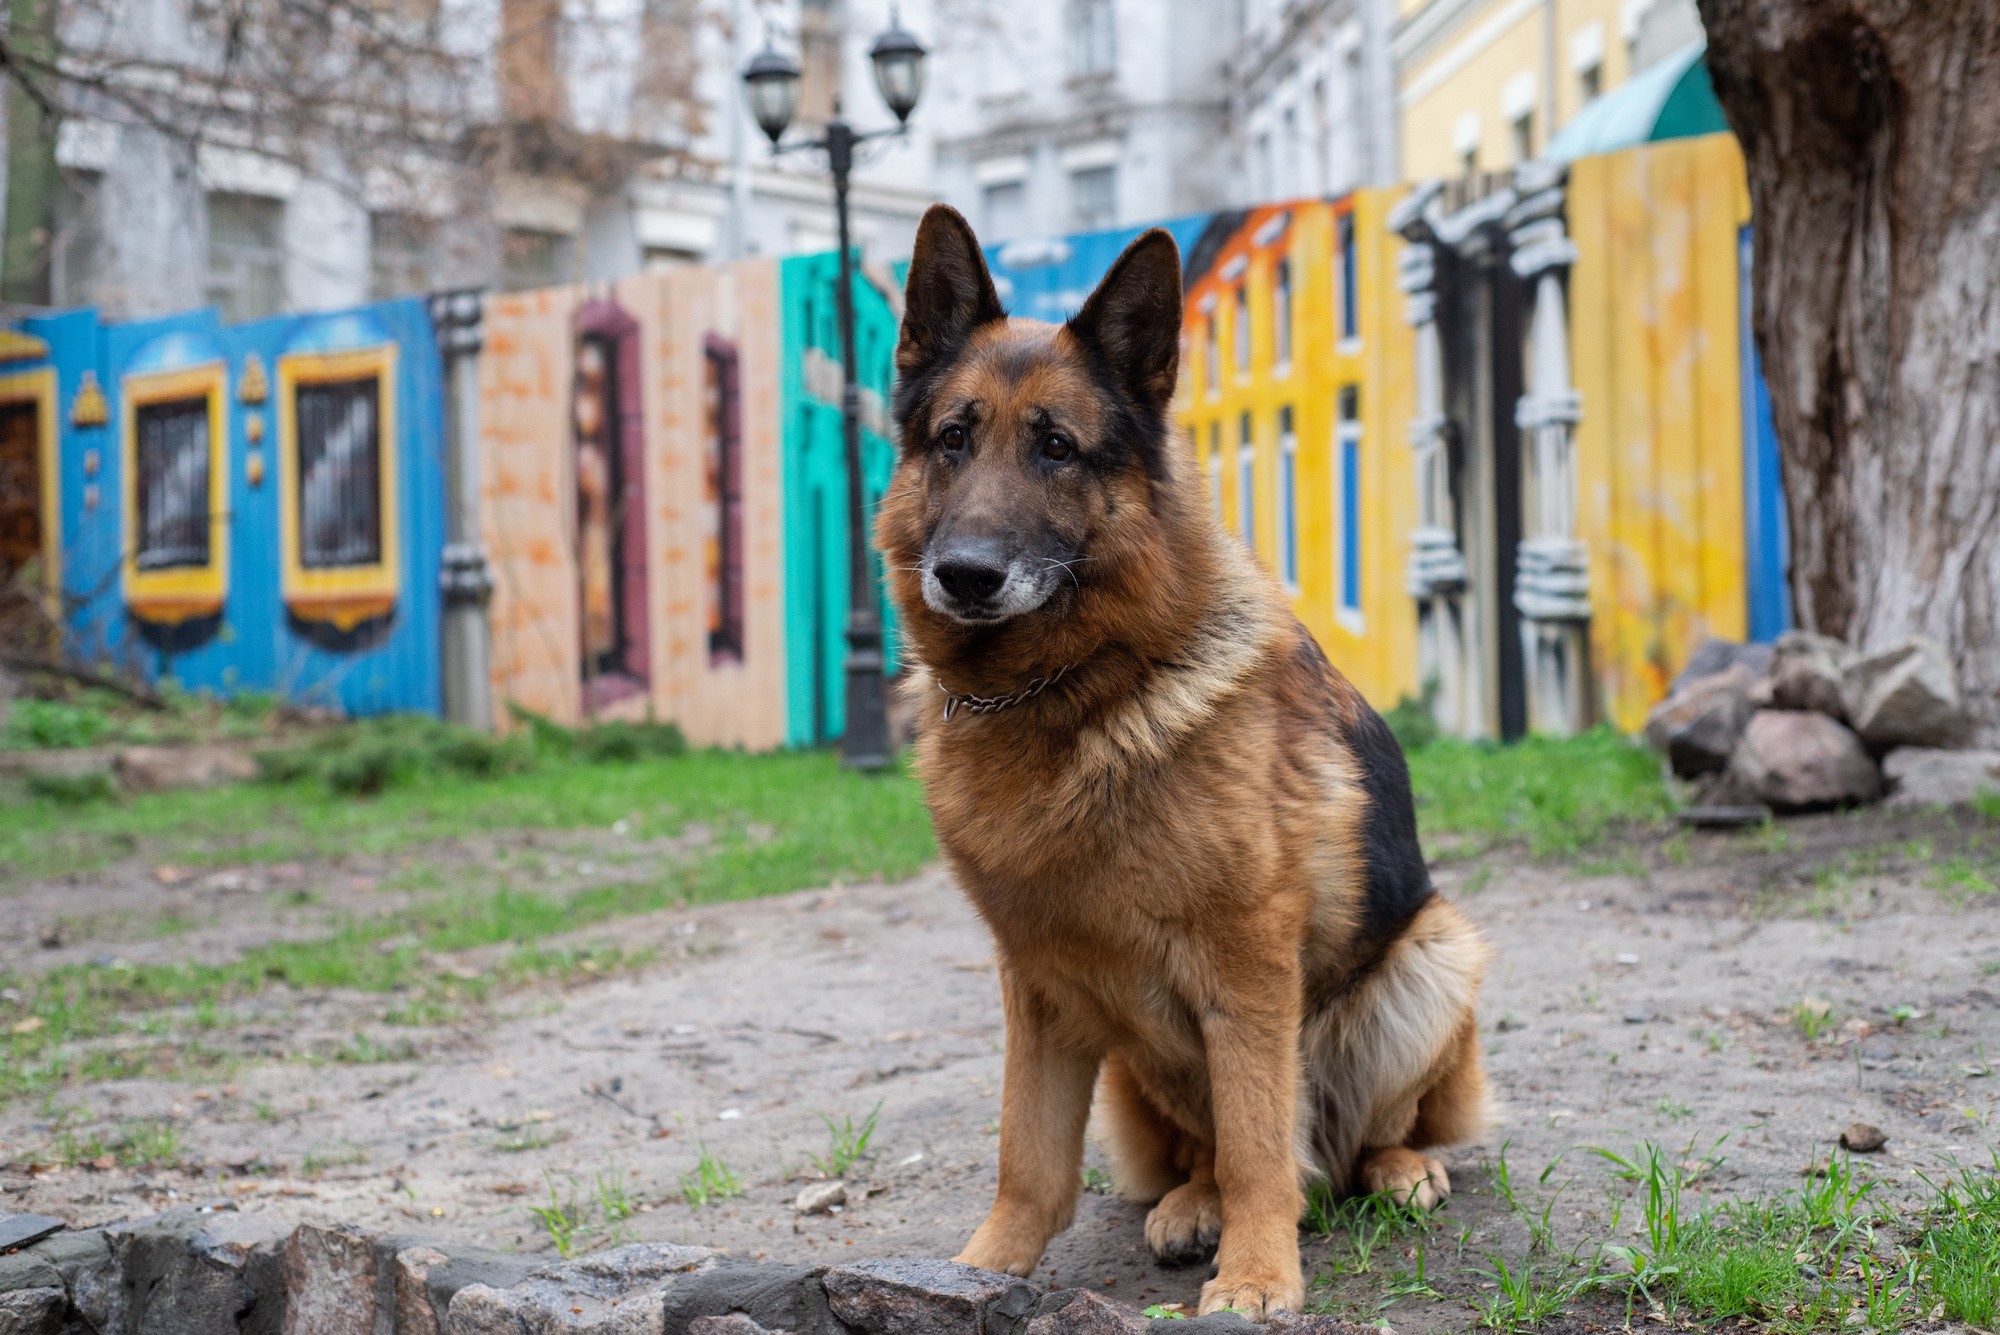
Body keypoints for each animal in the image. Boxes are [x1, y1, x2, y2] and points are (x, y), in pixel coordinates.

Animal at [876, 205, 1488, 1311]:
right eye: (953, 438)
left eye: (1057, 448)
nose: (966, 575)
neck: (1066, 691)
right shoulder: (1036, 983)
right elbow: (1026, 1156)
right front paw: (975, 1272)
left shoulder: (1245, 965)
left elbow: (1256, 1141)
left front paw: (1255, 1275)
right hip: (1133, 1057)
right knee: (1213, 1148)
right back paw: (1191, 1199)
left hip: (1432, 958)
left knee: (1350, 1137)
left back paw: (1392, 1169)